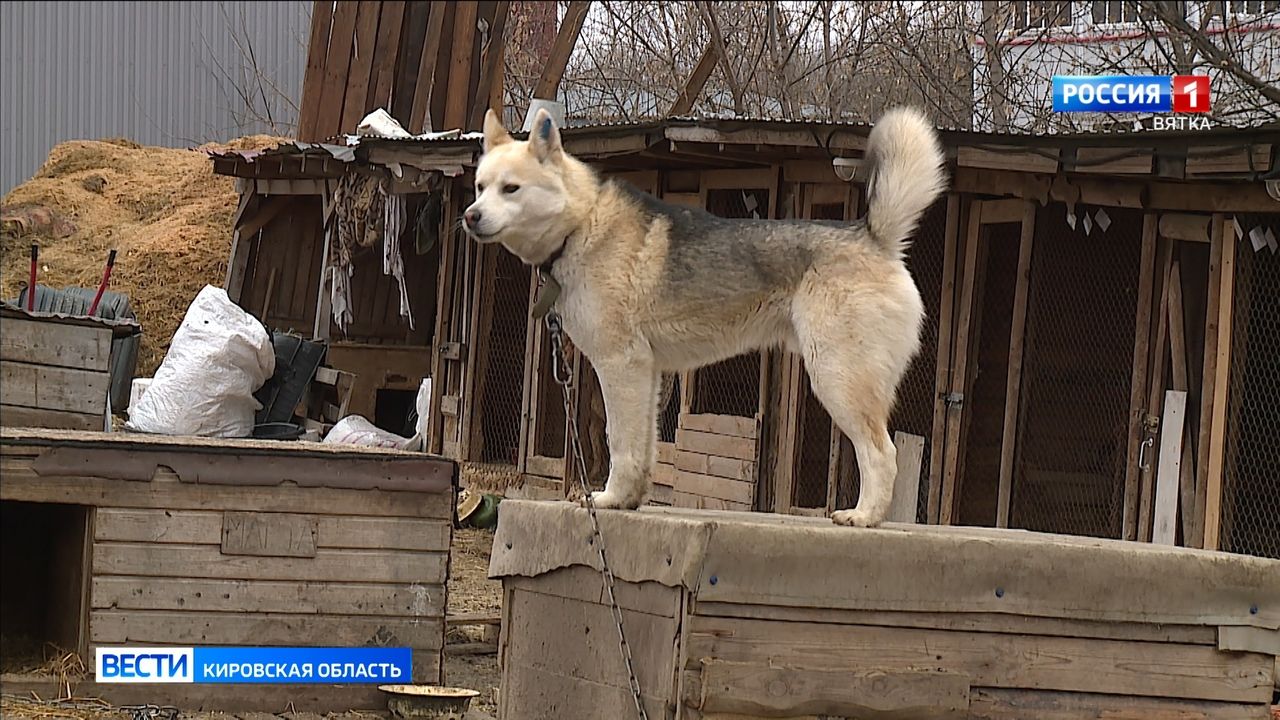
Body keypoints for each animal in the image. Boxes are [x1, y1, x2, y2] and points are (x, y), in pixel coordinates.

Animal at [465, 106, 947, 525]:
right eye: (479, 187)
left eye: (511, 189)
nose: (470, 216)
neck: (581, 224)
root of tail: (874, 238)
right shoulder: (647, 373)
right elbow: (644, 449)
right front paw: (630, 500)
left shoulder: (620, 366)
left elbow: (620, 443)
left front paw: (608, 499)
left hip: (837, 380)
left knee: (882, 454)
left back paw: (863, 517)